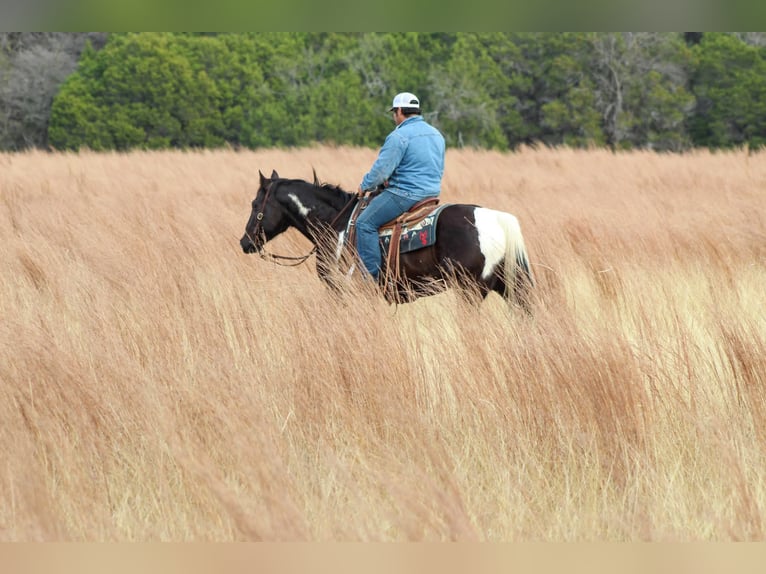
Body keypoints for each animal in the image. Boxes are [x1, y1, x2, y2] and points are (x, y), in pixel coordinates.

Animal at [240, 169, 536, 308]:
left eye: (255, 205)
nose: (245, 242)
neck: (336, 224)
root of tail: (497, 219)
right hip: (509, 287)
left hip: (470, 291)